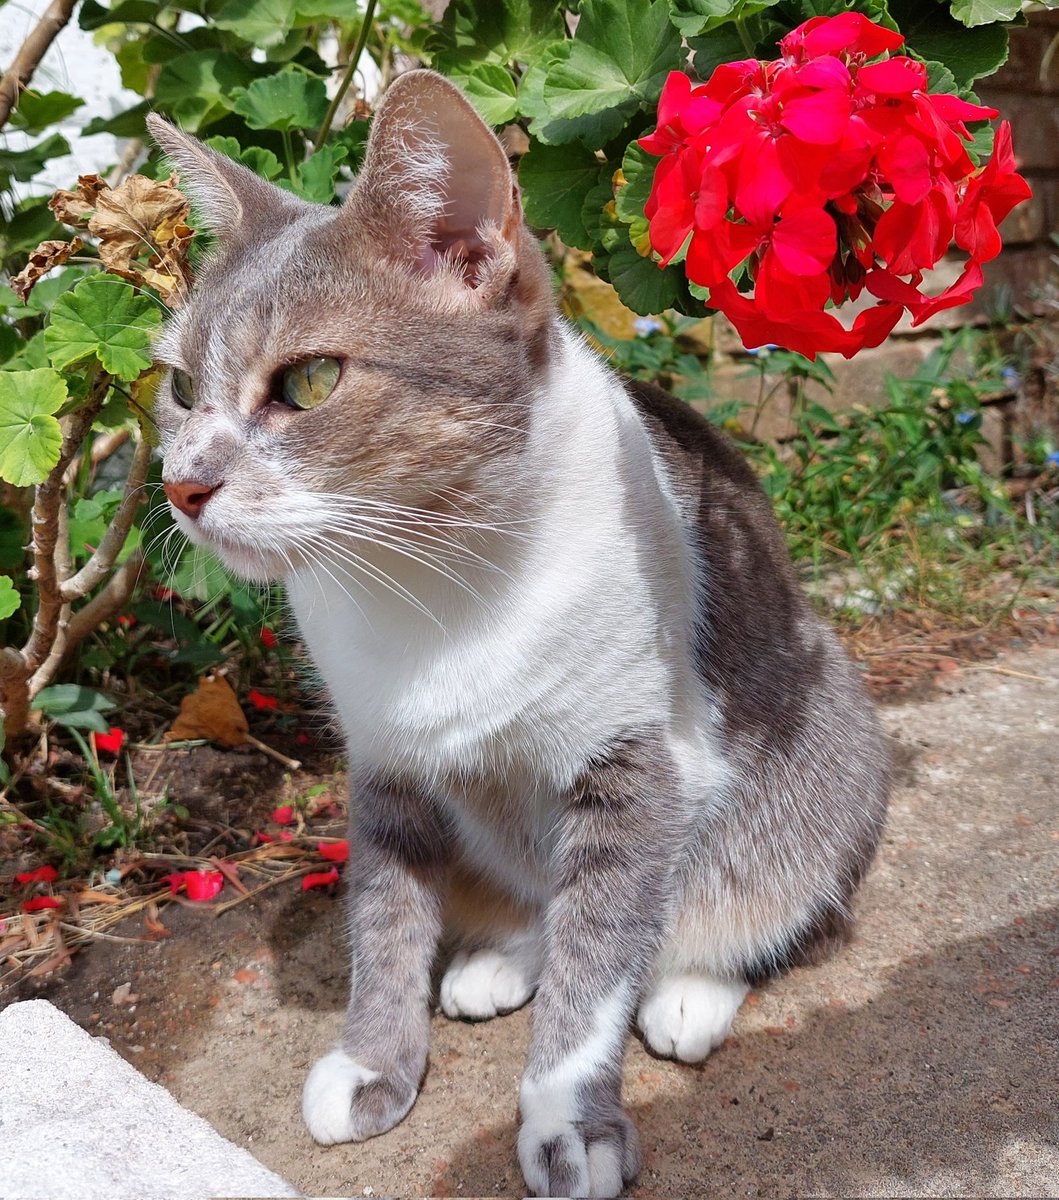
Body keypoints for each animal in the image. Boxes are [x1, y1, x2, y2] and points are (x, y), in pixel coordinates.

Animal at [148, 72, 888, 1200]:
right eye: (181, 385)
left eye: (309, 381)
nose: (182, 486)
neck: (426, 581)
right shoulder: (384, 762)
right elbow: (385, 917)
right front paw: (374, 1059)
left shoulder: (640, 765)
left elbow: (601, 960)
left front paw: (565, 1119)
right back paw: (501, 957)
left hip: (827, 734)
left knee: (733, 903)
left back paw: (689, 990)